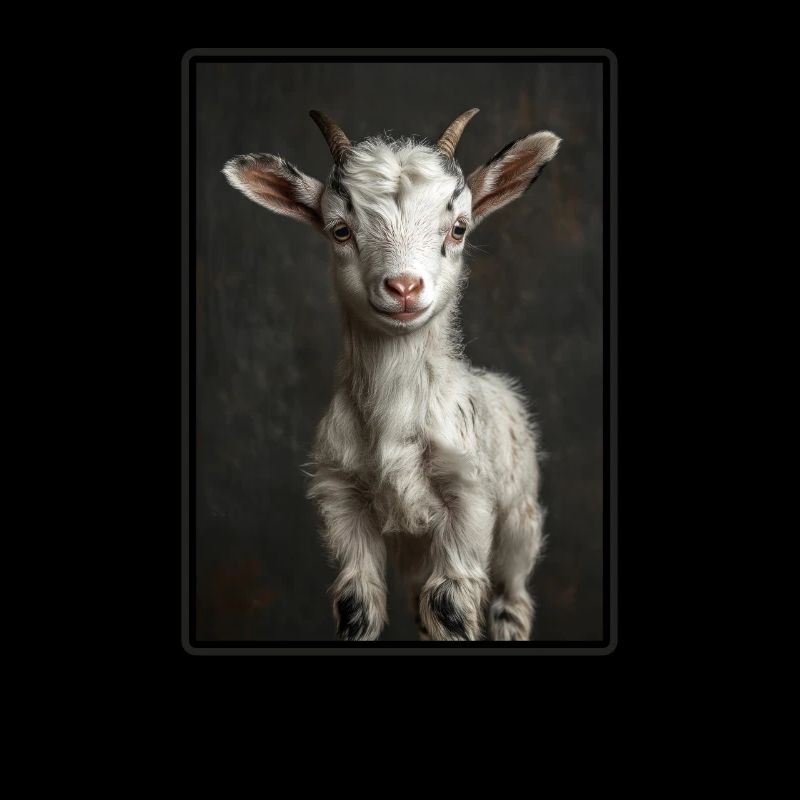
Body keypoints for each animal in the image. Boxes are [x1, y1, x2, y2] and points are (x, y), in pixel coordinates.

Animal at [223, 109, 561, 641]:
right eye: (340, 230)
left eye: (458, 228)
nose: (404, 287)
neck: (395, 419)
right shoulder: (342, 500)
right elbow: (358, 603)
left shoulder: (468, 498)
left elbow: (449, 606)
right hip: (414, 546)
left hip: (518, 519)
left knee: (512, 597)